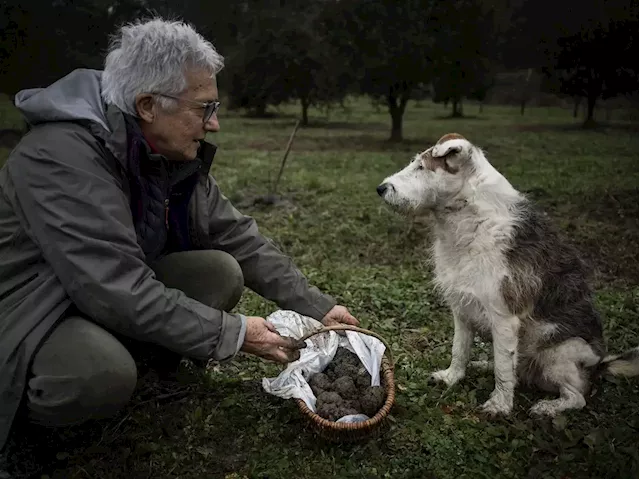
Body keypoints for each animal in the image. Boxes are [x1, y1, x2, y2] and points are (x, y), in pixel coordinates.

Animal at [378, 133, 636, 418]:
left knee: (576, 397)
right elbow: (460, 350)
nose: (381, 188)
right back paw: (483, 365)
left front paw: (499, 406)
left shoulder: (503, 317)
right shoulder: (461, 309)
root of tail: (599, 366)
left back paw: (547, 407)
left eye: (422, 167)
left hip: (557, 354)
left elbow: (503, 369)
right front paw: (451, 377)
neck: (471, 219)